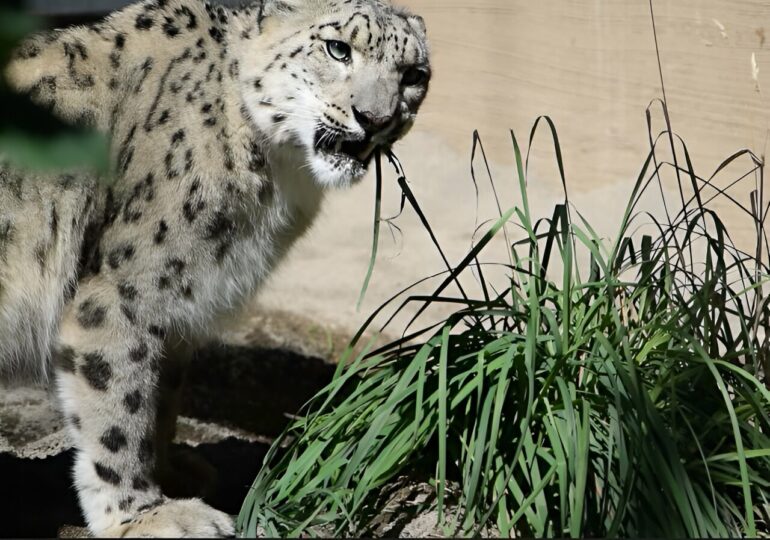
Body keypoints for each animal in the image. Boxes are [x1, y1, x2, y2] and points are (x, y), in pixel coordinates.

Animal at [0, 1, 428, 536]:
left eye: (414, 75)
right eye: (337, 48)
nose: (375, 118)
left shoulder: (176, 299)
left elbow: (160, 393)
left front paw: (174, 474)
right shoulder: (123, 292)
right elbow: (119, 405)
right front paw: (143, 514)